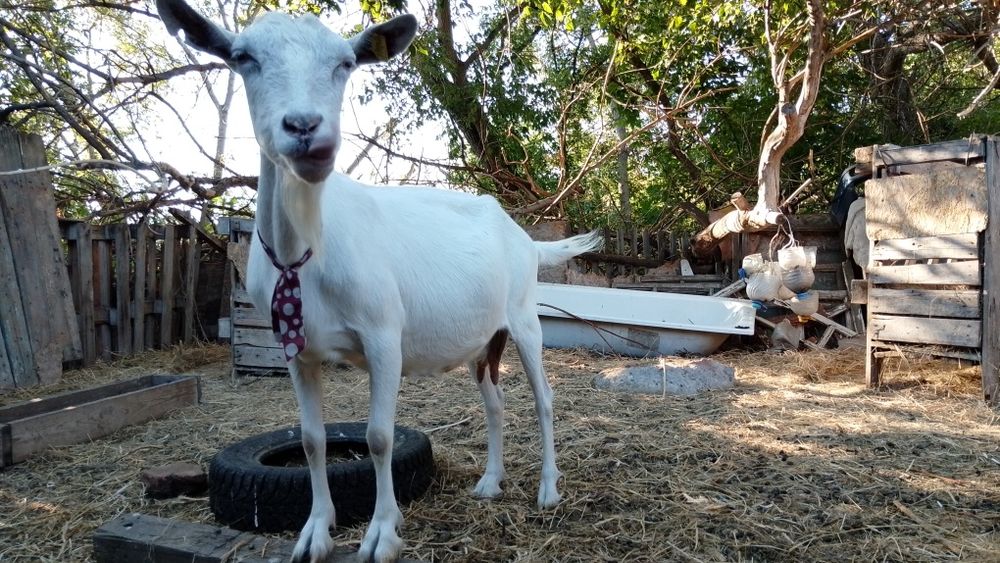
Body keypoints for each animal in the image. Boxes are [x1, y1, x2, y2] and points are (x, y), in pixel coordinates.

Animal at [154, 2, 602, 561]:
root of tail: (525, 237)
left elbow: (379, 437)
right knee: (494, 401)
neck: (307, 251)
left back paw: (548, 489)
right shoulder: (294, 348)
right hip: (485, 338)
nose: (306, 128)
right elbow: (311, 438)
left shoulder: (384, 334)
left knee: (544, 399)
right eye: (242, 58)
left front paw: (381, 534)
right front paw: (315, 531)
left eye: (345, 63)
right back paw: (490, 482)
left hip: (524, 318)